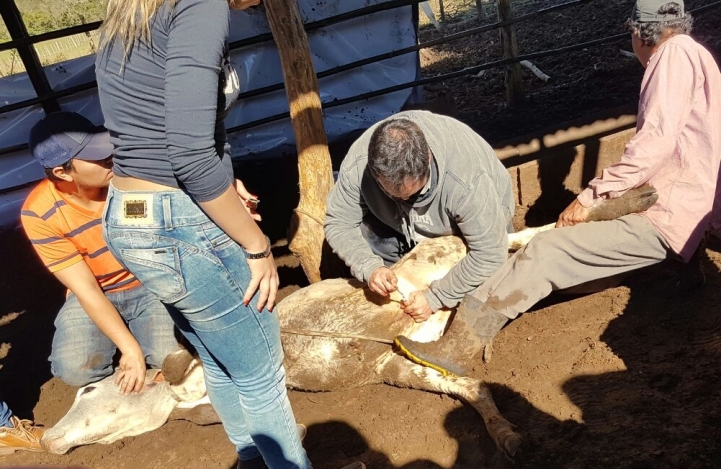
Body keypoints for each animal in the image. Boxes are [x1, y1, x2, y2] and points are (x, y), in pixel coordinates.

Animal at [40, 186, 660, 458]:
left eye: (91, 393)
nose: (46, 438)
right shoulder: (396, 364)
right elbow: (469, 388)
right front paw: (509, 435)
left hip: (447, 253)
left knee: (531, 235)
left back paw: (638, 199)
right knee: (527, 252)